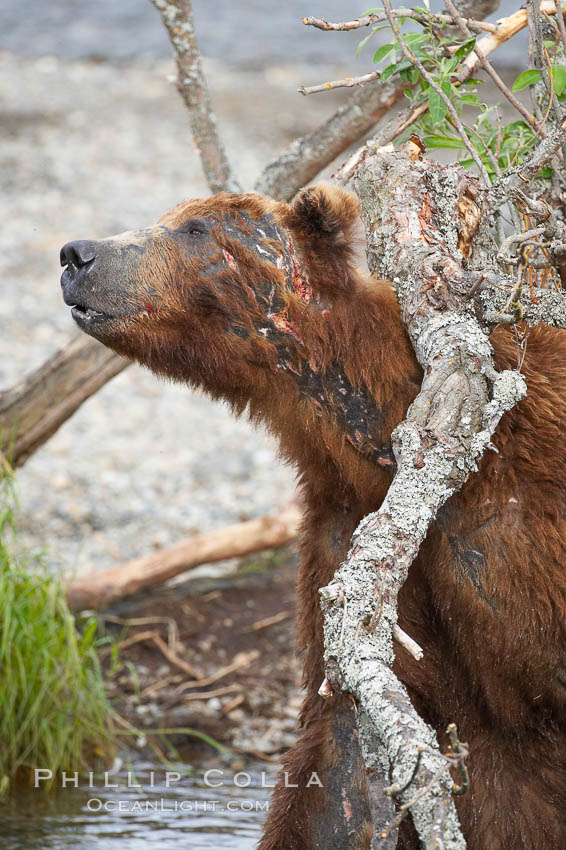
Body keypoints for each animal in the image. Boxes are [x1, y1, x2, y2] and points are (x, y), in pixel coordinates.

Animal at [60, 182, 566, 844]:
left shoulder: (517, 531)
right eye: (171, 217)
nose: (77, 254)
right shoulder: (352, 541)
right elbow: (341, 764)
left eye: (194, 229)